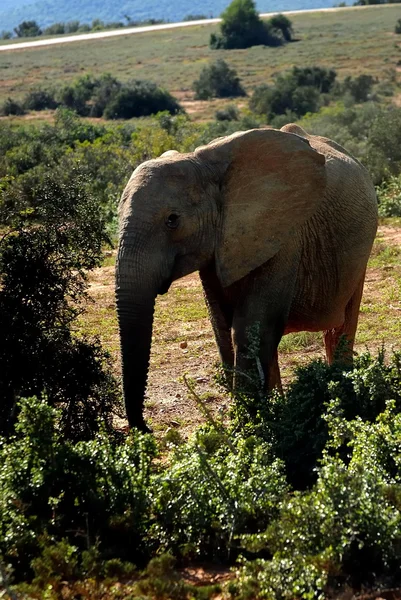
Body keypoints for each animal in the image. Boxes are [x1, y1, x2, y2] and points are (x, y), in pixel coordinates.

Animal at [114, 123, 376, 432]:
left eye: (172, 220)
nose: (148, 429)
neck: (202, 163)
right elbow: (222, 329)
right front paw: (259, 418)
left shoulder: (283, 239)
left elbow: (250, 327)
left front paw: (251, 429)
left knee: (343, 326)